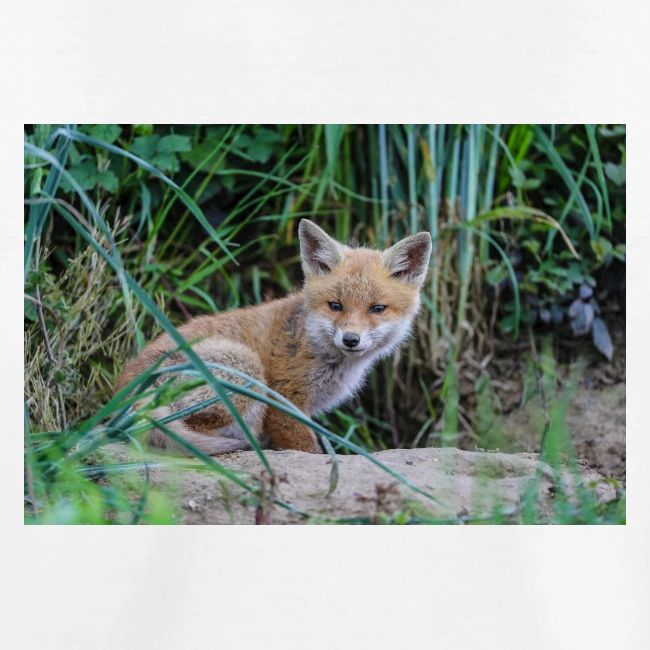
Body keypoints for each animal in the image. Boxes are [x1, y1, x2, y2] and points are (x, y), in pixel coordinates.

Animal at [116, 219, 432, 455]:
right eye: (335, 305)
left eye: (377, 309)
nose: (350, 339)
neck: (313, 344)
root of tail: (124, 395)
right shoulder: (284, 402)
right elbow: (307, 448)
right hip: (246, 369)